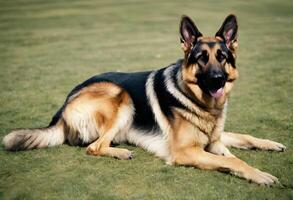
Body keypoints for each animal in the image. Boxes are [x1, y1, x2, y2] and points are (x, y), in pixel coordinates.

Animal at [2, 14, 286, 185]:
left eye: (222, 57)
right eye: (201, 58)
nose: (217, 79)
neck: (200, 102)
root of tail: (63, 108)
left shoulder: (214, 139)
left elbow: (243, 139)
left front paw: (271, 144)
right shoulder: (186, 151)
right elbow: (232, 160)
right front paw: (260, 175)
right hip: (122, 98)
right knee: (94, 147)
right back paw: (120, 152)